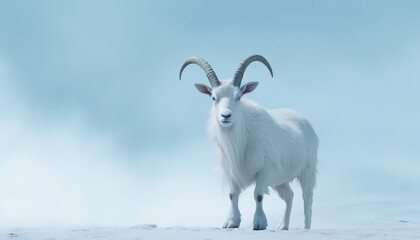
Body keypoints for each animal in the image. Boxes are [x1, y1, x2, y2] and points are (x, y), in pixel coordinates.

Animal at [179, 54, 320, 231]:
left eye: (238, 97)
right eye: (213, 98)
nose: (226, 116)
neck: (241, 139)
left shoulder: (265, 169)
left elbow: (258, 195)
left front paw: (259, 223)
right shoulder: (231, 171)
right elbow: (232, 195)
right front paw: (231, 222)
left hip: (307, 169)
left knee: (307, 196)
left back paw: (305, 227)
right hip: (281, 179)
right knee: (289, 196)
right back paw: (282, 227)